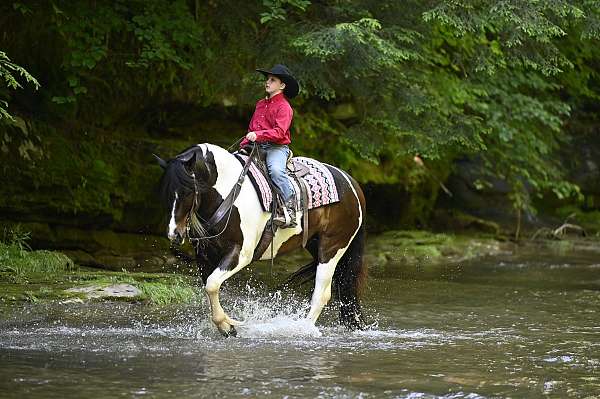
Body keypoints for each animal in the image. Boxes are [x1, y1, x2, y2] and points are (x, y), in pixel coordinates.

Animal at [155, 144, 366, 338]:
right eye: (165, 193)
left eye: (187, 192)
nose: (174, 234)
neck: (228, 192)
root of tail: (352, 183)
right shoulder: (204, 257)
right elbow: (209, 287)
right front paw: (227, 326)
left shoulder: (240, 254)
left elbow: (212, 284)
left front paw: (228, 325)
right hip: (316, 244)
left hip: (332, 248)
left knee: (322, 293)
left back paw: (301, 328)